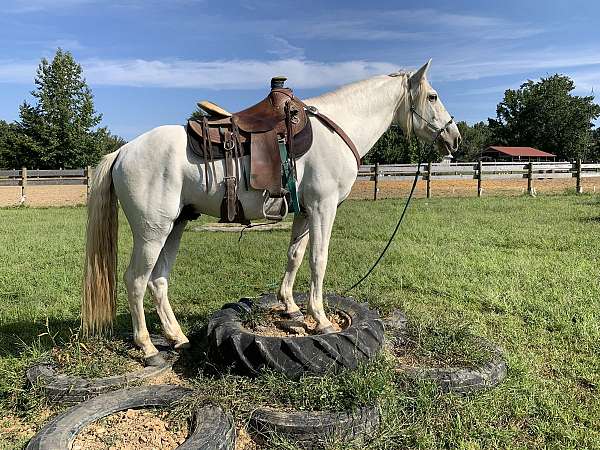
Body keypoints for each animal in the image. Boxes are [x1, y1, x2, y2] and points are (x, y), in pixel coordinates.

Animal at [82, 60, 460, 362]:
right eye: (432, 97)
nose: (454, 138)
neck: (336, 130)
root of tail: (122, 151)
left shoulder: (305, 212)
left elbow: (295, 256)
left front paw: (290, 306)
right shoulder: (323, 208)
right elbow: (318, 260)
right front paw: (321, 319)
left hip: (174, 226)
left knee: (158, 280)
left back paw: (177, 338)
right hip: (152, 231)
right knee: (136, 280)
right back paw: (147, 346)